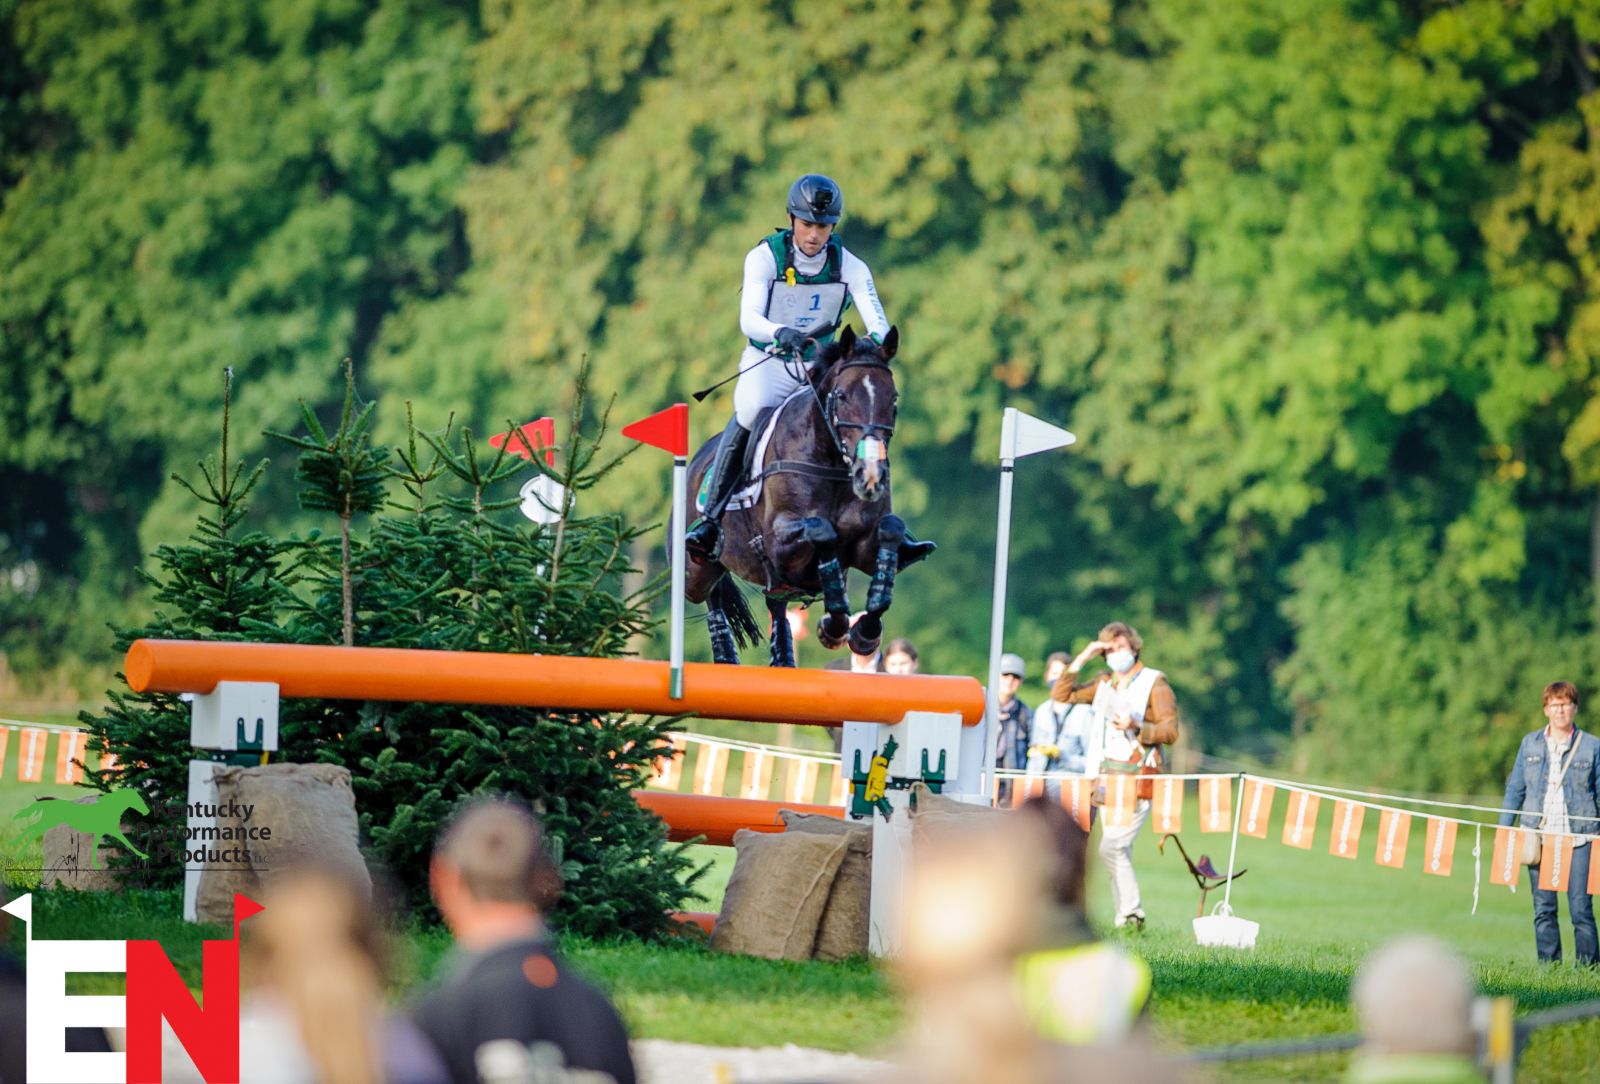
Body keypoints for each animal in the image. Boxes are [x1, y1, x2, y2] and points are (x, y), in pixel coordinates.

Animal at [11, 788, 150, 866]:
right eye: (137, 799)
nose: (147, 811)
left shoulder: (103, 832)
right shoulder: (110, 830)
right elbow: (125, 842)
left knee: (32, 830)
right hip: (47, 822)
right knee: (31, 830)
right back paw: (16, 848)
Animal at [685, 325, 932, 666]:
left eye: (893, 399)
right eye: (842, 396)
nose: (870, 476)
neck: (832, 462)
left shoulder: (865, 546)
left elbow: (889, 531)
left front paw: (863, 633)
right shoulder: (779, 544)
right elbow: (822, 530)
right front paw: (835, 626)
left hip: (770, 584)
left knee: (774, 604)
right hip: (696, 569)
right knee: (711, 594)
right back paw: (725, 656)